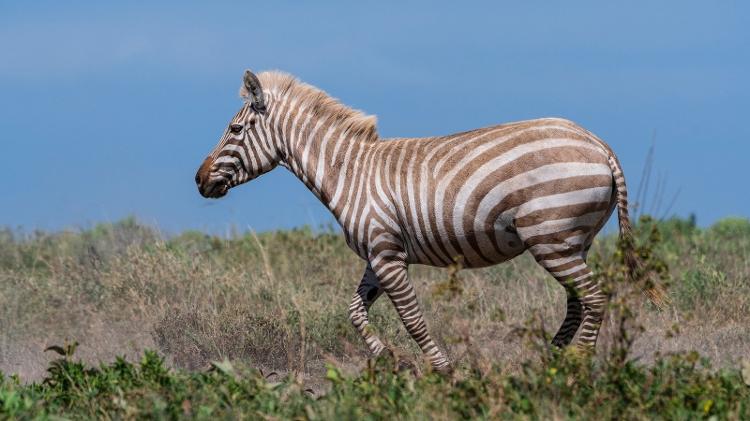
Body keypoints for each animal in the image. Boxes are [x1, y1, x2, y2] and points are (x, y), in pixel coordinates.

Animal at [197, 69, 668, 370]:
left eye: (234, 131)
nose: (199, 180)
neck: (348, 171)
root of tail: (598, 143)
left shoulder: (387, 254)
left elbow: (412, 318)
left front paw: (442, 371)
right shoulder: (378, 253)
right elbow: (355, 312)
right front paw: (393, 362)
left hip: (551, 238)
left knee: (595, 298)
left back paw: (577, 368)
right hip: (571, 241)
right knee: (578, 302)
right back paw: (549, 361)